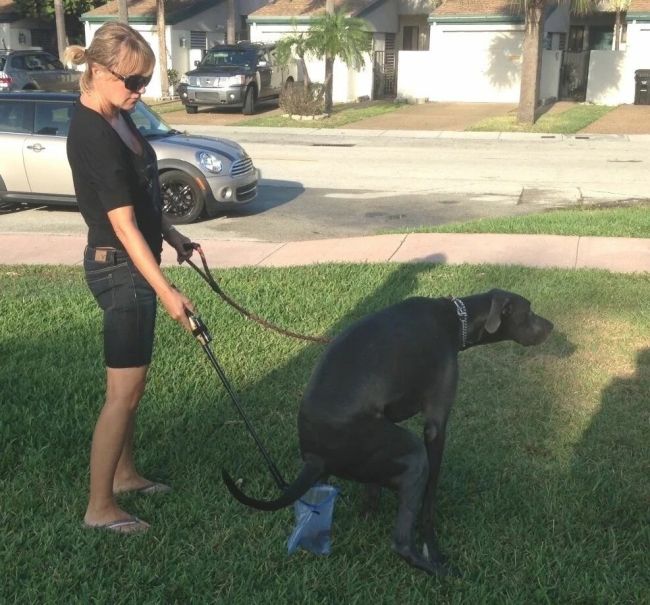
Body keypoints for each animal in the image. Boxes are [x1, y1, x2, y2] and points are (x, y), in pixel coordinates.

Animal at [221, 290, 548, 572]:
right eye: (530, 311)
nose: (552, 327)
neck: (455, 320)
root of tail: (315, 455)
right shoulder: (435, 426)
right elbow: (429, 500)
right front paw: (433, 546)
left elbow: (372, 489)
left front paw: (370, 510)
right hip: (414, 456)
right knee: (401, 543)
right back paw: (440, 571)